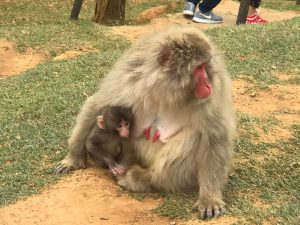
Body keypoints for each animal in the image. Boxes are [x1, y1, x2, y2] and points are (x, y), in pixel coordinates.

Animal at [55, 27, 234, 219]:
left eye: (205, 65)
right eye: (199, 67)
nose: (208, 83)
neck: (166, 89)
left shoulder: (209, 98)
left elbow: (214, 134)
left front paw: (210, 197)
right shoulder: (129, 79)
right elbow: (97, 105)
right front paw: (73, 158)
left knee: (195, 136)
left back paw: (143, 178)